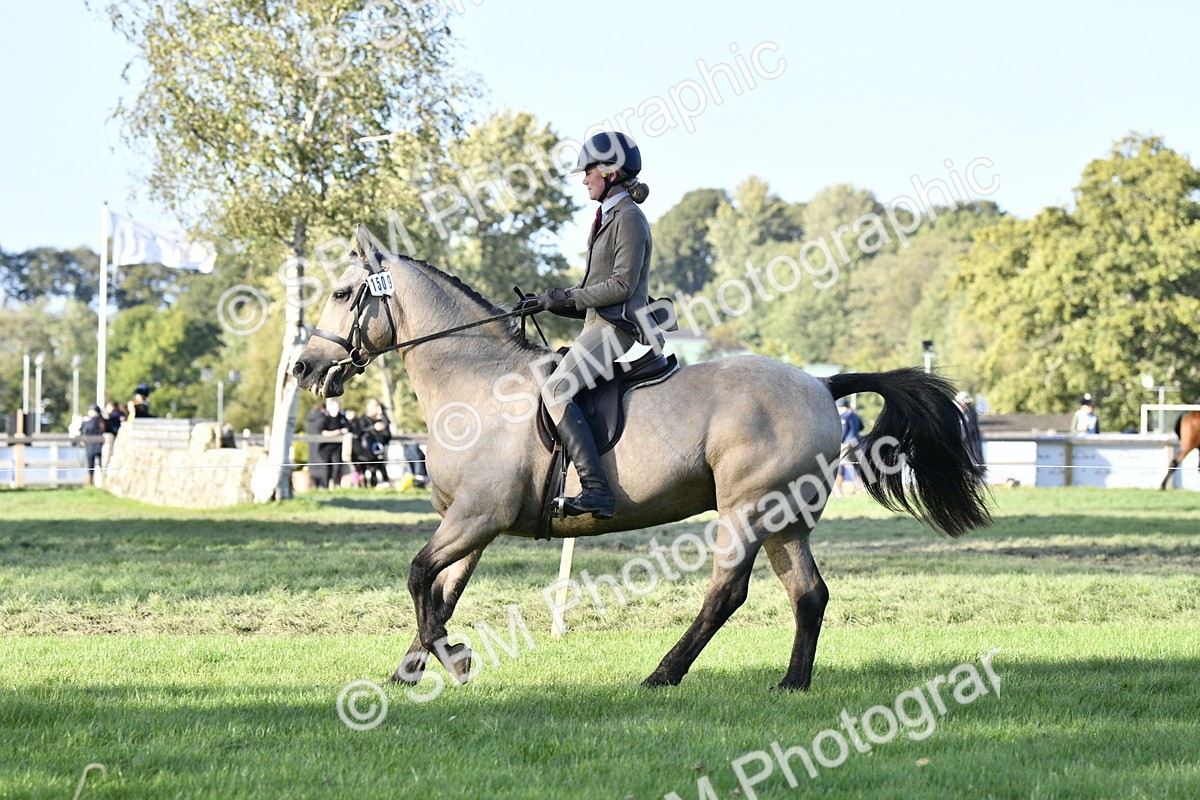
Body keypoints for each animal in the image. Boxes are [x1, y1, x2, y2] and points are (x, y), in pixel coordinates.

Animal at [292, 226, 992, 691]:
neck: (477, 386)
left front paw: (451, 659)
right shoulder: (471, 524)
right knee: (809, 594)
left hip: (746, 509)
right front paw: (414, 667)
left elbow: (419, 577)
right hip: (784, 518)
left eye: (342, 292)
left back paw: (663, 674)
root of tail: (821, 384)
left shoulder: (476, 518)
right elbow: (440, 592)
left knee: (726, 593)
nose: (303, 368)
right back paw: (792, 684)